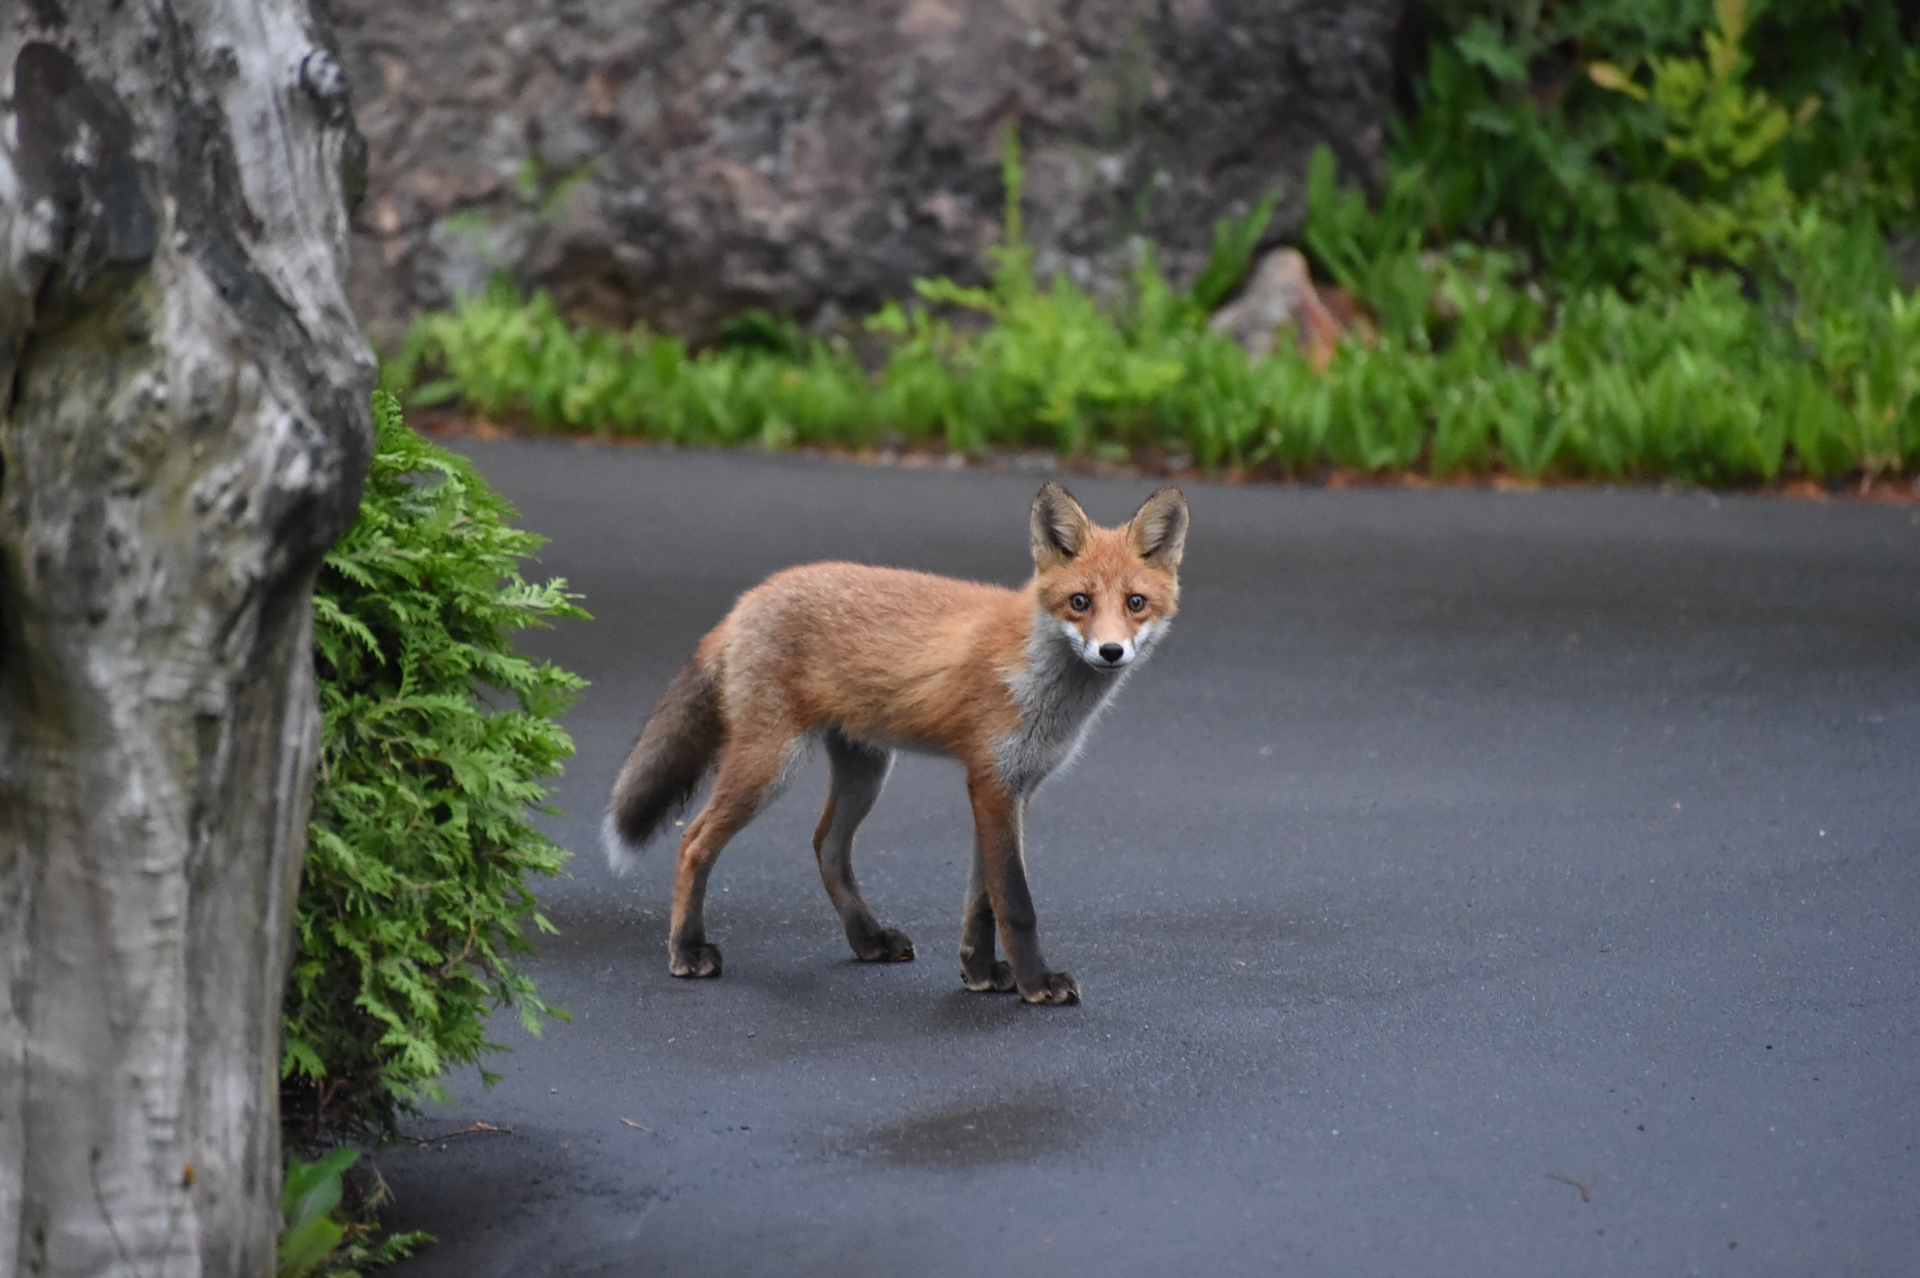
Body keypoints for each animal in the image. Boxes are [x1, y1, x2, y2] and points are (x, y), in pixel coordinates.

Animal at [606, 483, 1190, 997]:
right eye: (1080, 601)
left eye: (1136, 602)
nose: (1111, 651)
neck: (1040, 681)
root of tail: (747, 600)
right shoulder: (991, 781)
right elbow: (1016, 903)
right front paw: (1035, 985)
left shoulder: (1014, 788)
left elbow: (983, 900)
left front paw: (980, 973)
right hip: (769, 763)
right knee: (694, 841)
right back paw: (687, 951)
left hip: (866, 770)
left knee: (826, 845)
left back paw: (867, 939)